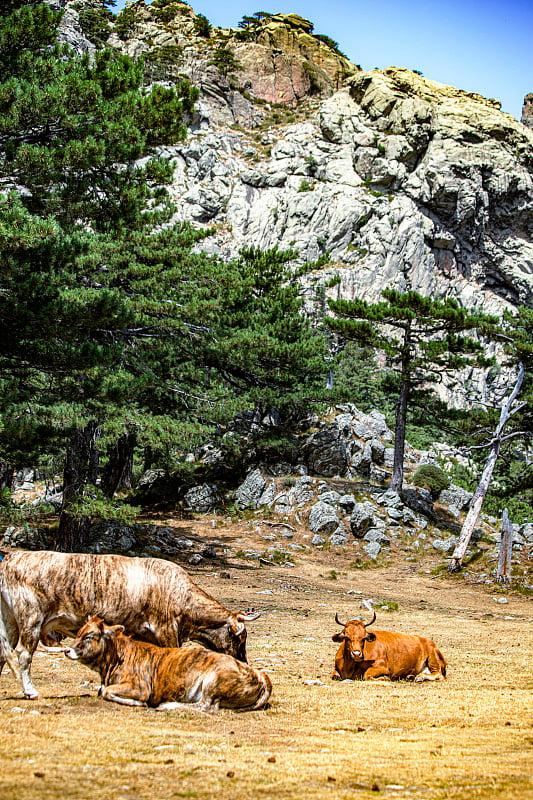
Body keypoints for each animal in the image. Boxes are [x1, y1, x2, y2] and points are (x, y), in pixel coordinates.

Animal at [65, 616, 272, 708]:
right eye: (78, 632)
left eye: (90, 636)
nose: (67, 650)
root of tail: (261, 675)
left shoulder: (140, 687)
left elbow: (107, 692)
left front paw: (139, 703)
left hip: (213, 682)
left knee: (205, 706)